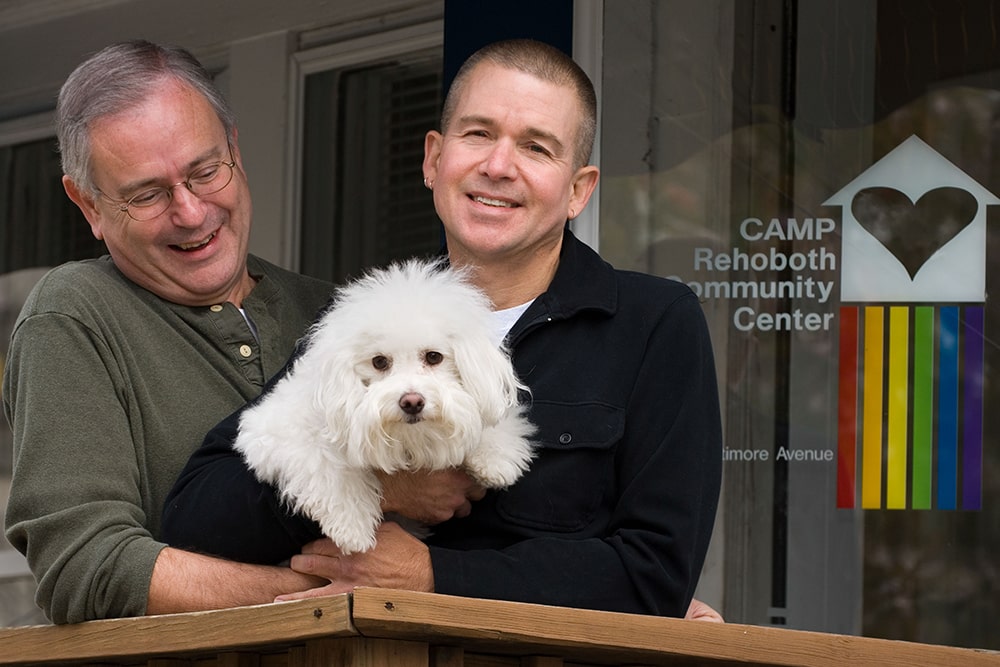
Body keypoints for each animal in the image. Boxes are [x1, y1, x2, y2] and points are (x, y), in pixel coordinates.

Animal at [233, 258, 536, 556]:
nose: (412, 402)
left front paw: (494, 458)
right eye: (379, 362)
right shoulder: (277, 432)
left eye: (433, 357)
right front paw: (353, 526)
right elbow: (329, 467)